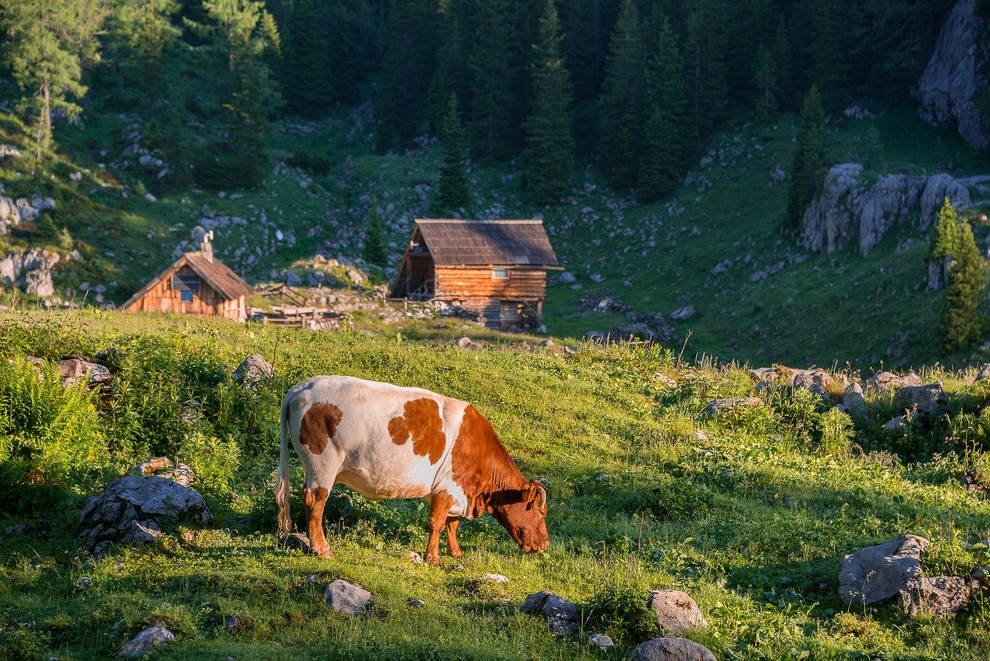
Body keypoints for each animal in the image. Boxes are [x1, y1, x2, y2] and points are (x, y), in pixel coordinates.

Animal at [276, 376, 552, 564]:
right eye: (542, 512)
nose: (545, 543)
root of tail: (303, 386)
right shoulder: (446, 487)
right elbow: (437, 523)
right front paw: (433, 558)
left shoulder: (459, 491)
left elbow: (452, 524)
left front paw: (456, 553)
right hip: (323, 464)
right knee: (315, 502)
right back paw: (322, 549)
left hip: (314, 468)